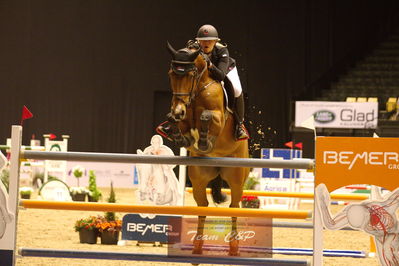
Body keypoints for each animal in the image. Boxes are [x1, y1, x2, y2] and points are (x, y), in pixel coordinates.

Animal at [162, 43, 250, 256]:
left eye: (190, 75)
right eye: (171, 74)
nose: (179, 110)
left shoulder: (219, 119)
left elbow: (206, 117)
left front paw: (203, 142)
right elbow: (178, 125)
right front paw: (175, 128)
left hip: (236, 178)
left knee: (235, 206)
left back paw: (234, 247)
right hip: (199, 179)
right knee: (203, 206)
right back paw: (197, 246)